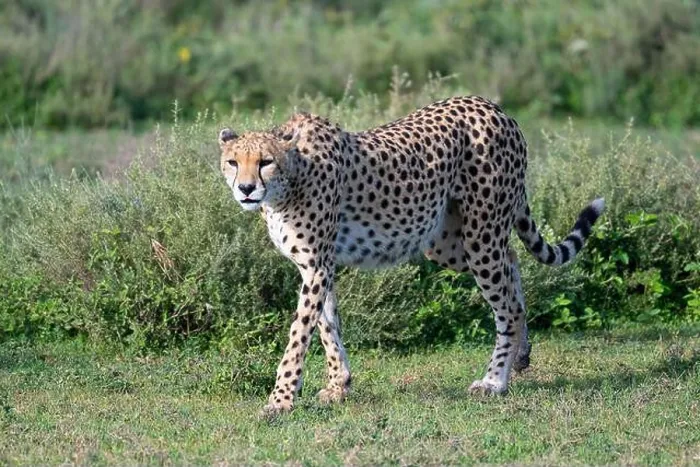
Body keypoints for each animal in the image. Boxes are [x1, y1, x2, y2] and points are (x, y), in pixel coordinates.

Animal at [218, 95, 605, 416]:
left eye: (266, 162)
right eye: (233, 162)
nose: (246, 189)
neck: (291, 178)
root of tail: (494, 107)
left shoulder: (317, 266)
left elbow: (299, 334)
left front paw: (281, 400)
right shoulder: (315, 265)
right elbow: (327, 326)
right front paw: (338, 385)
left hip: (480, 235)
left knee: (507, 306)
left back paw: (495, 381)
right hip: (446, 240)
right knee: (511, 263)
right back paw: (521, 356)